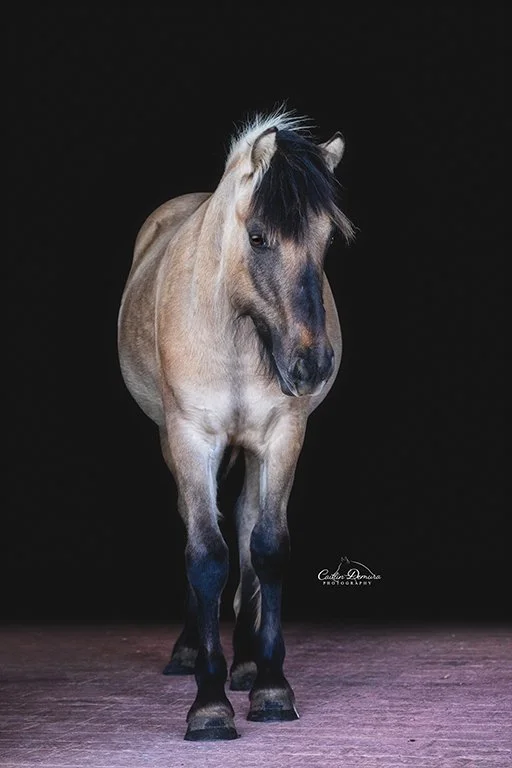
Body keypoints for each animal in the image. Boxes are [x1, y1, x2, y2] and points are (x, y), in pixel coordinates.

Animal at [117, 108, 354, 740]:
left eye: (325, 239)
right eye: (258, 237)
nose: (312, 363)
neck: (240, 333)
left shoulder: (281, 436)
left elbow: (266, 547)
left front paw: (270, 685)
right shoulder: (191, 439)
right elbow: (206, 555)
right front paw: (209, 704)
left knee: (248, 531)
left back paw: (246, 662)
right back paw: (188, 652)